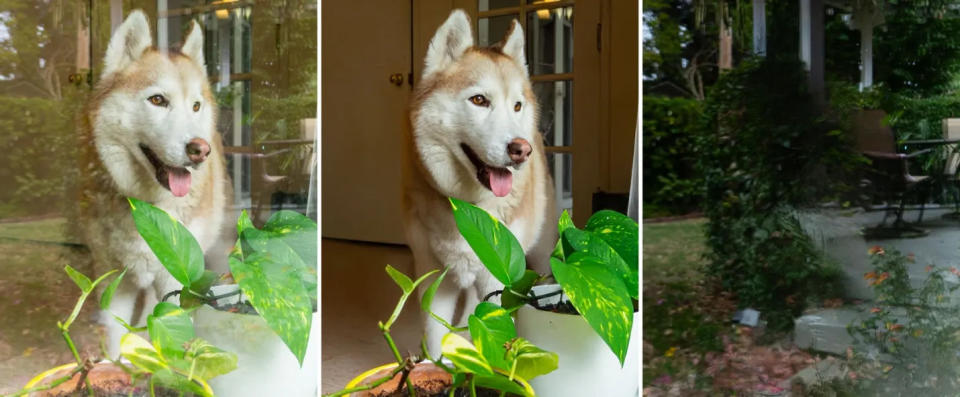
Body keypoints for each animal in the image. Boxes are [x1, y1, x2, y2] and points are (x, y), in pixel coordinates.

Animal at [78, 10, 230, 354]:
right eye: (158, 100)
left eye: (196, 106)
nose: (200, 150)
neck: (146, 207)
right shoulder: (113, 278)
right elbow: (114, 334)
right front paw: (117, 362)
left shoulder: (176, 277)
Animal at [404, 10, 556, 354]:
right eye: (479, 100)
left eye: (516, 106)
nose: (521, 149)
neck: (468, 207)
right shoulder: (434, 275)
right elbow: (434, 332)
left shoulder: (498, 273)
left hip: (540, 253)